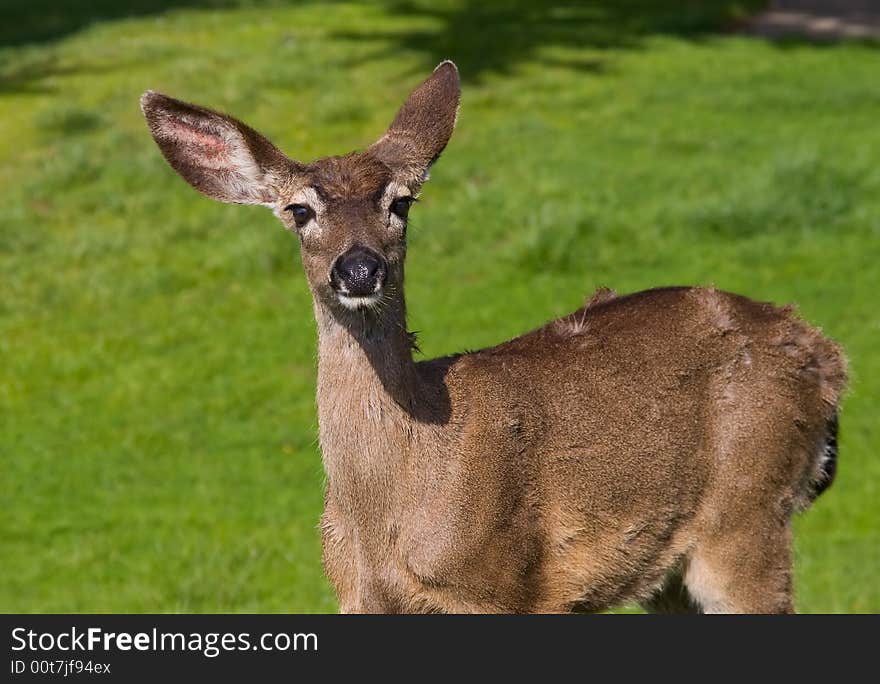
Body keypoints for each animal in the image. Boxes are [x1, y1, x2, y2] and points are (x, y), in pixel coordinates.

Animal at [141, 61, 848, 612]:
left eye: (401, 202)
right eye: (299, 210)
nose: (359, 268)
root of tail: (825, 356)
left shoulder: (505, 585)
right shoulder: (357, 597)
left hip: (746, 512)